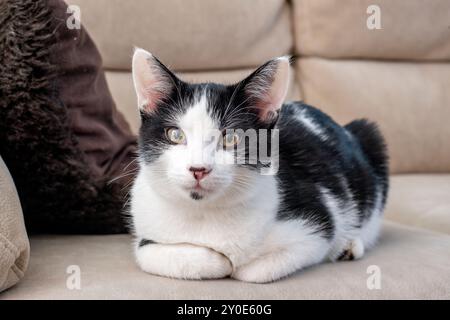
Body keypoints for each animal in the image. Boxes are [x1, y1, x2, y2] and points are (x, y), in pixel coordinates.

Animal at [128, 47, 388, 282]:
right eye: (175, 135)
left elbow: (252, 272)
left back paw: (348, 245)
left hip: (369, 135)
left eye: (231, 137)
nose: (198, 169)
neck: (203, 213)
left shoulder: (318, 223)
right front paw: (217, 260)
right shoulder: (147, 229)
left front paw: (232, 262)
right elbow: (148, 252)